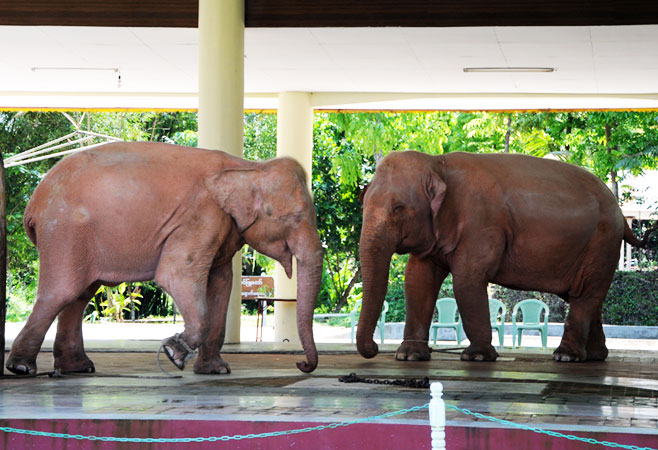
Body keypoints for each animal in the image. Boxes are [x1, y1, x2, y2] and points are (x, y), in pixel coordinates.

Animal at [6, 142, 322, 374]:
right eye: (296, 217)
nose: (300, 364)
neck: (249, 167)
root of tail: (34, 203)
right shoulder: (201, 218)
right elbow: (176, 275)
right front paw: (173, 354)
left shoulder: (221, 225)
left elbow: (221, 284)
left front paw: (215, 370)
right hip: (64, 232)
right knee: (61, 292)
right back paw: (22, 368)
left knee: (80, 295)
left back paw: (77, 369)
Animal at [356, 151, 652, 366]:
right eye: (363, 203)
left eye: (398, 208)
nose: (374, 348)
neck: (437, 162)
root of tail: (619, 211)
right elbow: (417, 280)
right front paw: (409, 355)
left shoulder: (482, 224)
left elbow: (467, 280)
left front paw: (476, 357)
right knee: (590, 297)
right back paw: (595, 356)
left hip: (601, 243)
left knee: (585, 296)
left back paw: (566, 357)